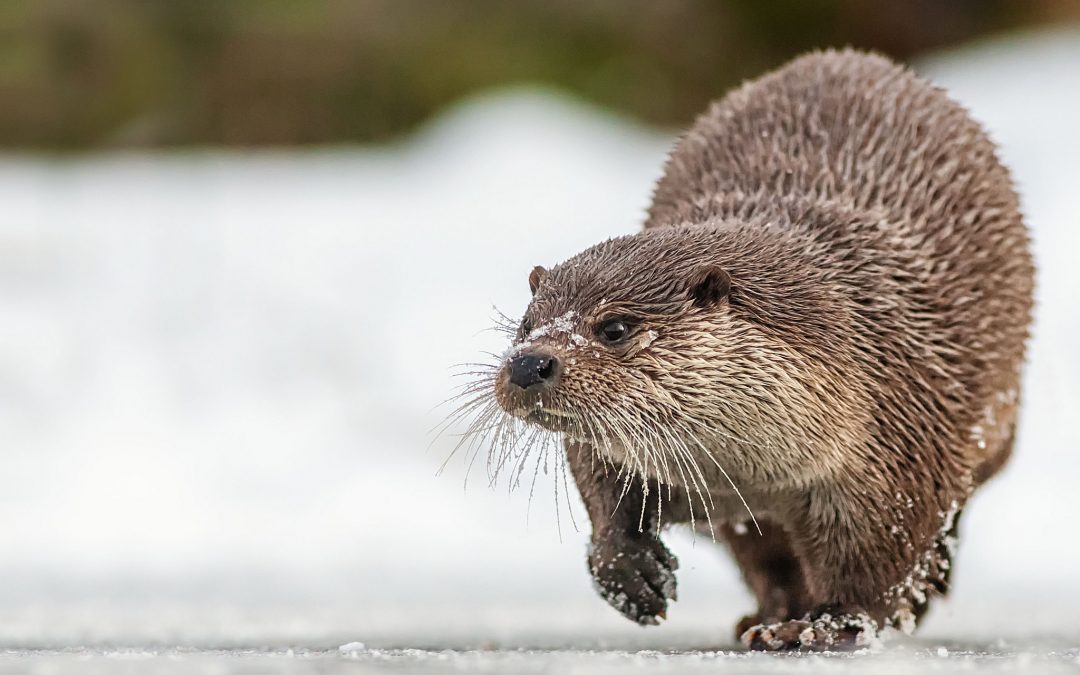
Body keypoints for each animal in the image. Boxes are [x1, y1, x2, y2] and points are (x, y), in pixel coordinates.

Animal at [472, 49, 1034, 650]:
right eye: (525, 325)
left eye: (616, 328)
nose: (528, 364)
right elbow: (601, 482)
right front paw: (628, 570)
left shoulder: (900, 436)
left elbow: (878, 558)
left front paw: (827, 625)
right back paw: (762, 615)